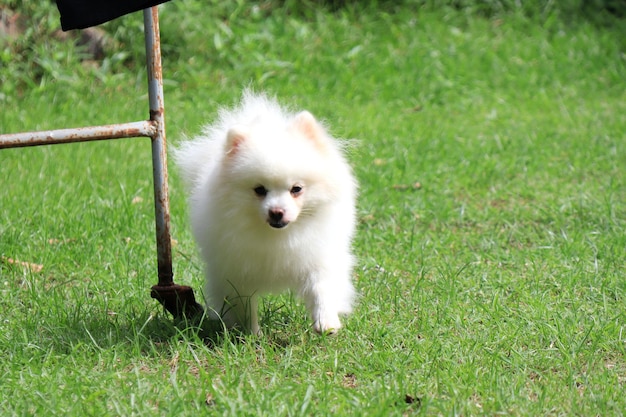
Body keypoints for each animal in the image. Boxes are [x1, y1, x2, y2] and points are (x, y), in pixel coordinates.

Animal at [173, 92, 358, 334]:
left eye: (296, 189)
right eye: (259, 190)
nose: (277, 212)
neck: (278, 237)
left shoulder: (318, 256)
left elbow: (321, 288)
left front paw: (325, 322)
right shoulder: (236, 272)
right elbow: (244, 305)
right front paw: (251, 334)